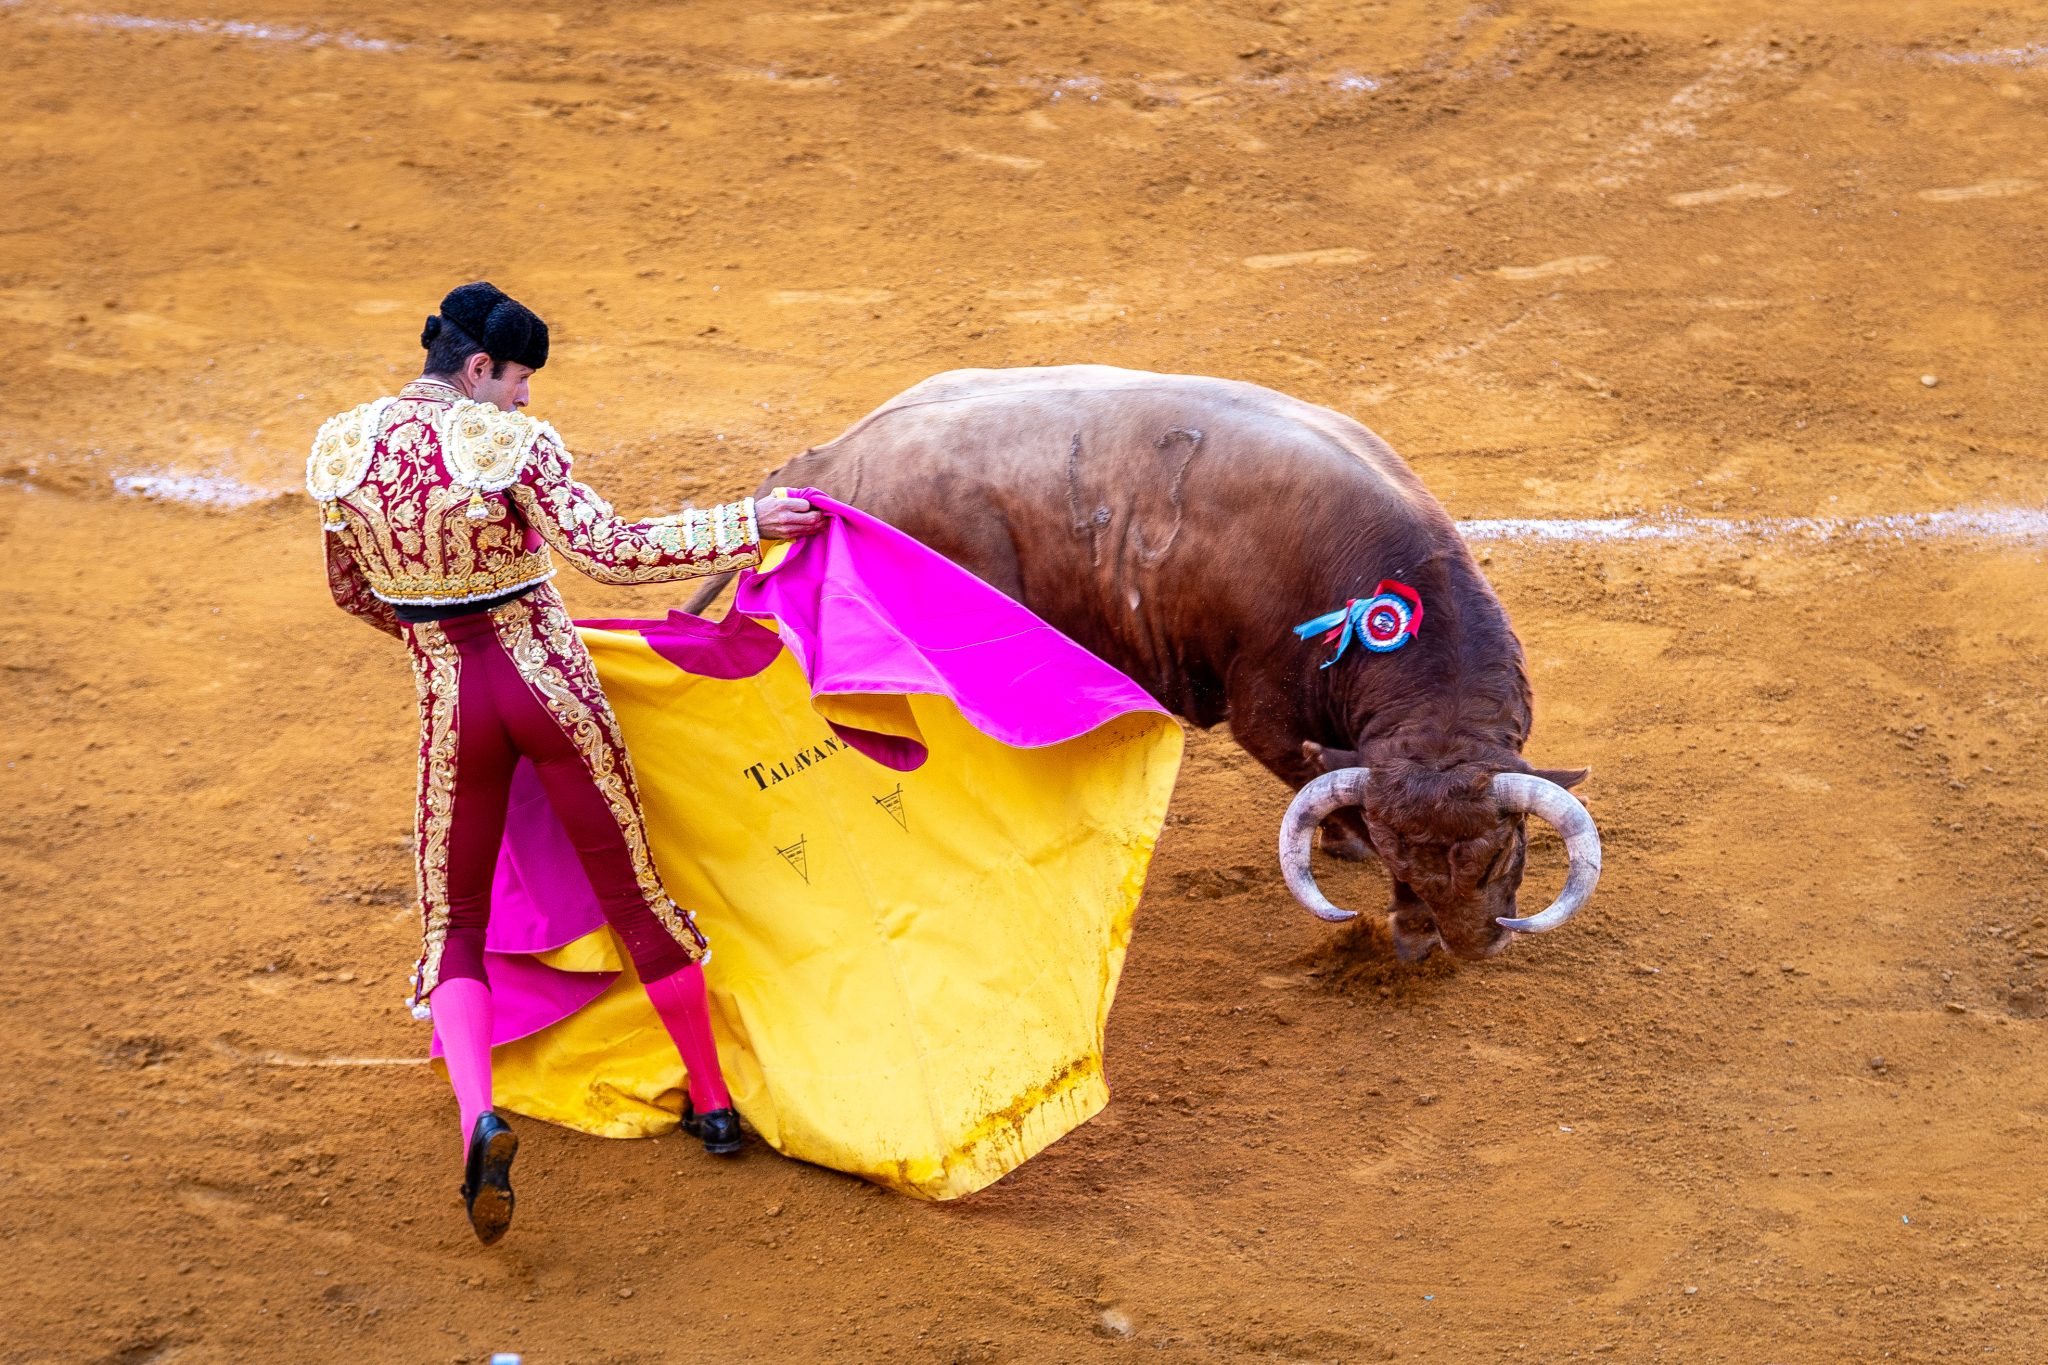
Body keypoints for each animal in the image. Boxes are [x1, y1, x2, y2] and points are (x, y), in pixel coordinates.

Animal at [684, 365, 1601, 962]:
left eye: (1503, 855)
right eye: (1403, 859)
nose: (1445, 948)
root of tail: (819, 468)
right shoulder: (1264, 706)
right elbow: (1309, 776)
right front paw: (1347, 845)